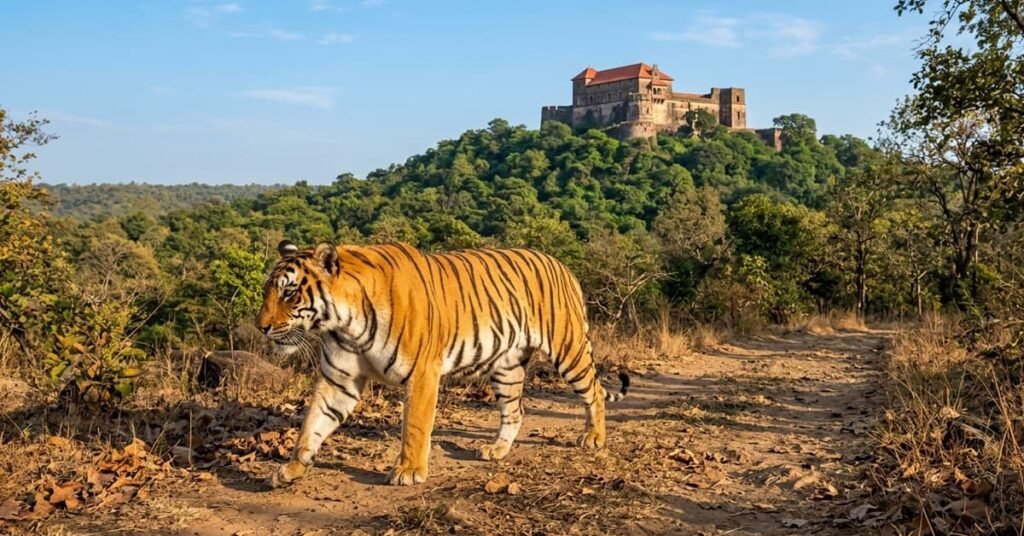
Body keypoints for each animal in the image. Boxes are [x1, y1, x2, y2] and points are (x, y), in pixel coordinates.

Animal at [256, 239, 630, 486]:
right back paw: (496, 450)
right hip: (507, 367)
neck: (345, 323)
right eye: (266, 292)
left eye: (289, 292)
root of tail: (564, 267)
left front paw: (408, 471)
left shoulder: (422, 373)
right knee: (515, 411)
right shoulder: (339, 379)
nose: (261, 327)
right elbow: (313, 423)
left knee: (594, 392)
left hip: (568, 349)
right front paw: (292, 469)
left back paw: (593, 438)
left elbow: (415, 426)